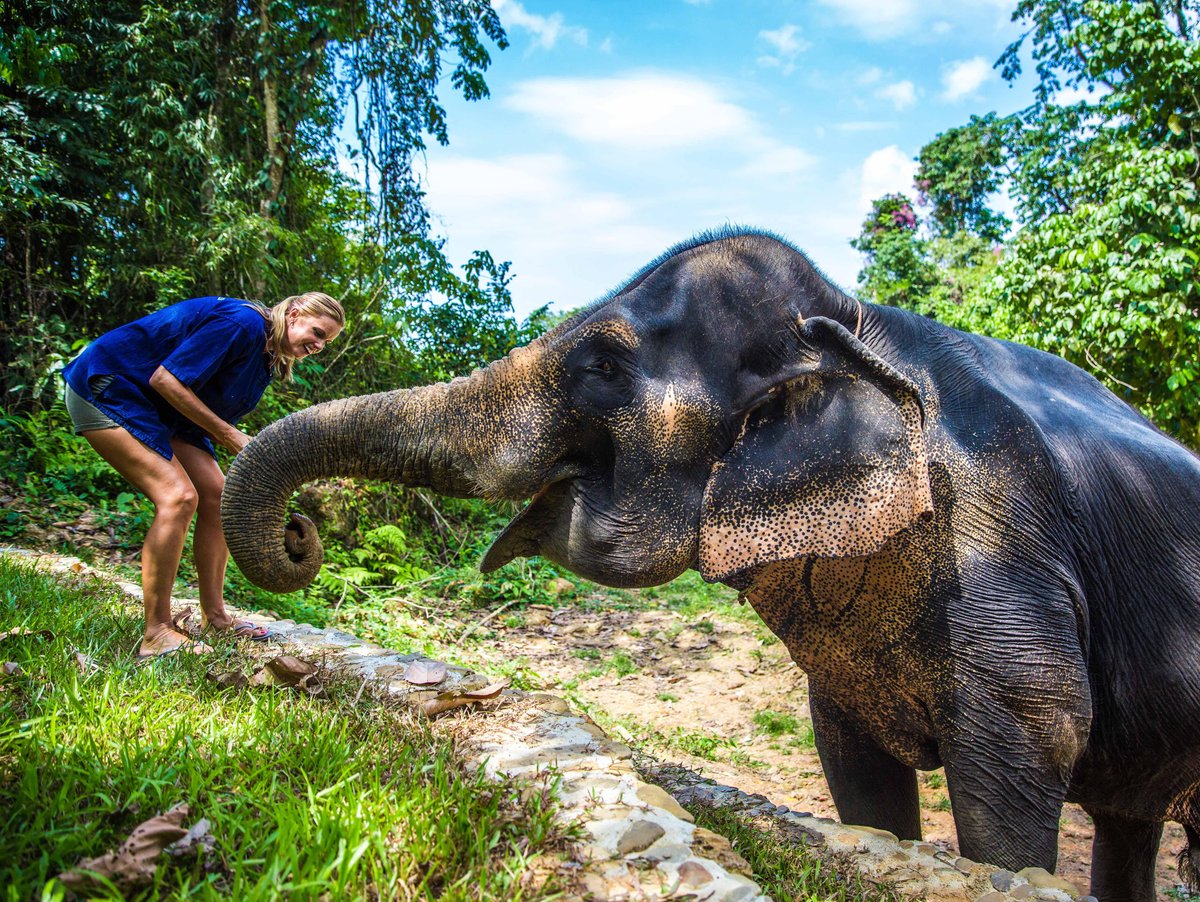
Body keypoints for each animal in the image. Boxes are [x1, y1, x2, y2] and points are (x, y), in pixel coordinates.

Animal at [220, 229, 1200, 897]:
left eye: (603, 365)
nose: (302, 534)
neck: (857, 321)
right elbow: (858, 774)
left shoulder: (1003, 546)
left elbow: (1030, 739)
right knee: (1128, 823)